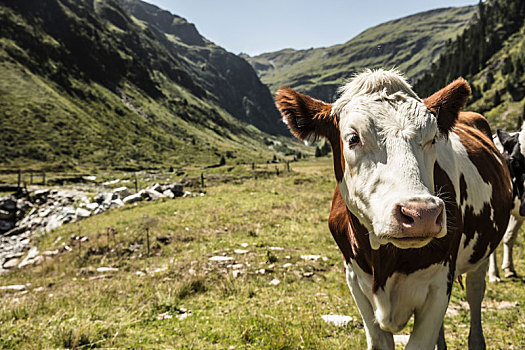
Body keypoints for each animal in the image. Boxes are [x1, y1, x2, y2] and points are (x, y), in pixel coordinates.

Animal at [274, 69, 512, 350]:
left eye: (432, 137)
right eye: (353, 138)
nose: (421, 214)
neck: (385, 261)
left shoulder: (440, 281)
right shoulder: (354, 279)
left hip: (481, 255)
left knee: (475, 294)